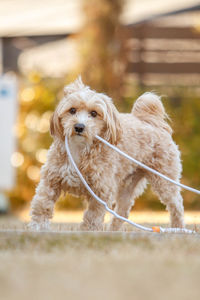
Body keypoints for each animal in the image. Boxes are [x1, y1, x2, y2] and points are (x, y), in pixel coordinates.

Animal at [29, 77, 184, 230]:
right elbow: (42, 206)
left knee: (176, 205)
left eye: (94, 113)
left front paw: (88, 232)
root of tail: (151, 122)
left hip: (164, 179)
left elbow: (92, 217)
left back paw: (178, 228)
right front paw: (38, 228)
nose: (79, 127)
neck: (80, 149)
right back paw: (113, 230)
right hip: (128, 185)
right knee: (123, 211)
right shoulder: (51, 181)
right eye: (72, 110)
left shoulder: (101, 191)